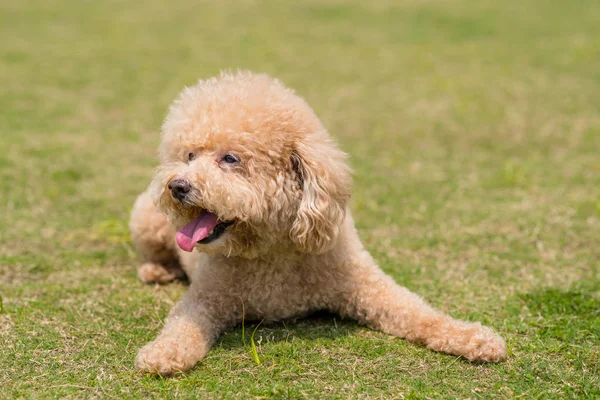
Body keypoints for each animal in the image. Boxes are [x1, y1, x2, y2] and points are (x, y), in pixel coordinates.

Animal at [130, 71, 506, 376]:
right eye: (190, 156)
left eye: (230, 159)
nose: (177, 186)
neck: (272, 250)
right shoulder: (206, 298)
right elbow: (181, 325)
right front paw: (162, 353)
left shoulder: (365, 285)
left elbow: (418, 312)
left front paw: (475, 337)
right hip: (145, 218)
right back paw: (156, 270)